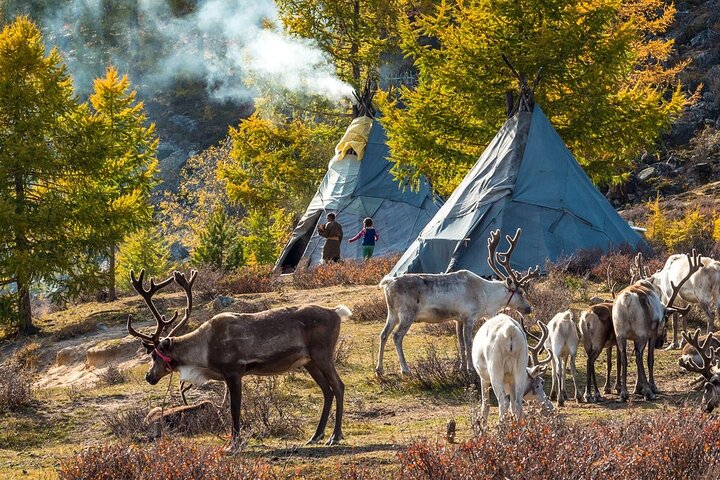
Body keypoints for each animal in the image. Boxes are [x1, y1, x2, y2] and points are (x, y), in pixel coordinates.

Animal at [126, 269, 350, 451]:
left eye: (154, 355)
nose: (148, 376)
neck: (204, 352)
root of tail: (336, 313)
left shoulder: (234, 372)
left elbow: (235, 409)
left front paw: (233, 444)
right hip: (309, 362)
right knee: (327, 390)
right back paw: (316, 435)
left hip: (323, 355)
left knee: (338, 386)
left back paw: (335, 436)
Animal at [376, 228, 540, 376]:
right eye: (520, 292)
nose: (529, 308)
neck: (486, 297)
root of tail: (388, 283)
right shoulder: (469, 317)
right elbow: (469, 342)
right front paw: (471, 369)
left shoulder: (458, 319)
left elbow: (460, 343)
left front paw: (461, 368)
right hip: (407, 314)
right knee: (396, 336)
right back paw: (405, 370)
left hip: (392, 313)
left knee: (383, 334)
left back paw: (379, 369)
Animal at [612, 250, 702, 401]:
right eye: (665, 319)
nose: (660, 343)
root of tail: (626, 300)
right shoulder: (652, 334)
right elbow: (650, 359)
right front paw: (650, 387)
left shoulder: (633, 337)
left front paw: (638, 387)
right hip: (641, 333)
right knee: (638, 356)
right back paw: (649, 392)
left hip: (620, 333)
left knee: (624, 356)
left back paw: (624, 393)